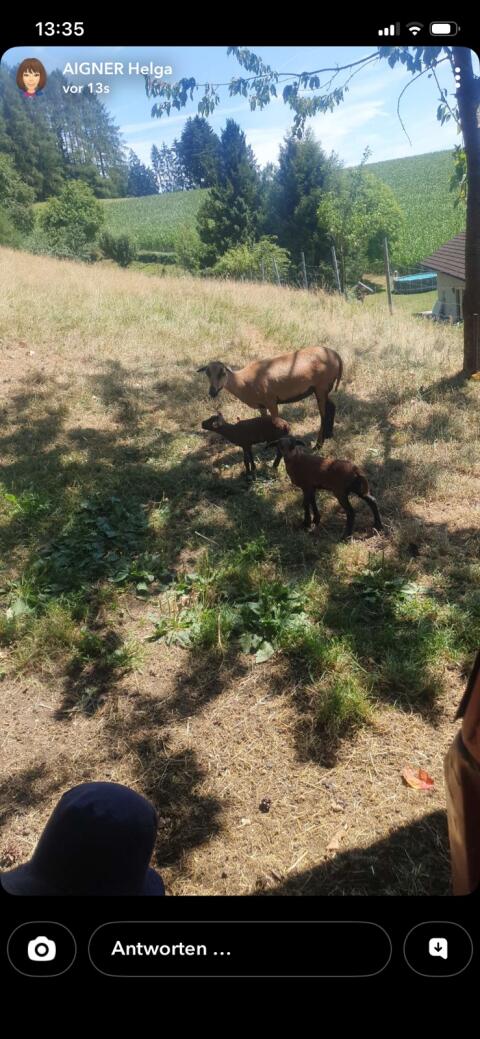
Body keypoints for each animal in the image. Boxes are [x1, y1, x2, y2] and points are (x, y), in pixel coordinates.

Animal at [197, 345, 343, 449]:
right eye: (207, 373)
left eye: (222, 373)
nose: (212, 392)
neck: (243, 381)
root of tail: (336, 356)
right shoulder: (261, 405)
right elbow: (264, 420)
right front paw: (266, 443)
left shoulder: (271, 401)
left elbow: (275, 421)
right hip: (323, 390)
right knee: (332, 407)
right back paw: (329, 435)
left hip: (321, 387)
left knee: (323, 415)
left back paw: (318, 445)